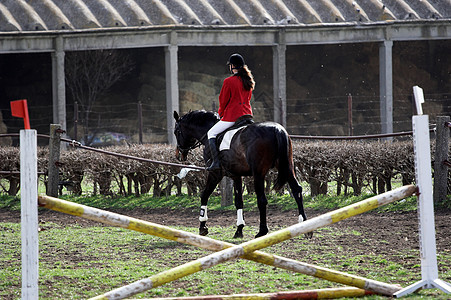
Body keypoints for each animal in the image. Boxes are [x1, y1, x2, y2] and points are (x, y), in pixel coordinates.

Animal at [174, 110, 310, 239]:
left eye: (176, 132)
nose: (178, 154)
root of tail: (277, 129)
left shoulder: (215, 173)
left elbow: (204, 195)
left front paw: (203, 226)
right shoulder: (236, 176)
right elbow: (239, 201)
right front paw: (239, 229)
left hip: (258, 174)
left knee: (262, 199)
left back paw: (262, 231)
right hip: (287, 167)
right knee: (297, 190)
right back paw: (305, 227)